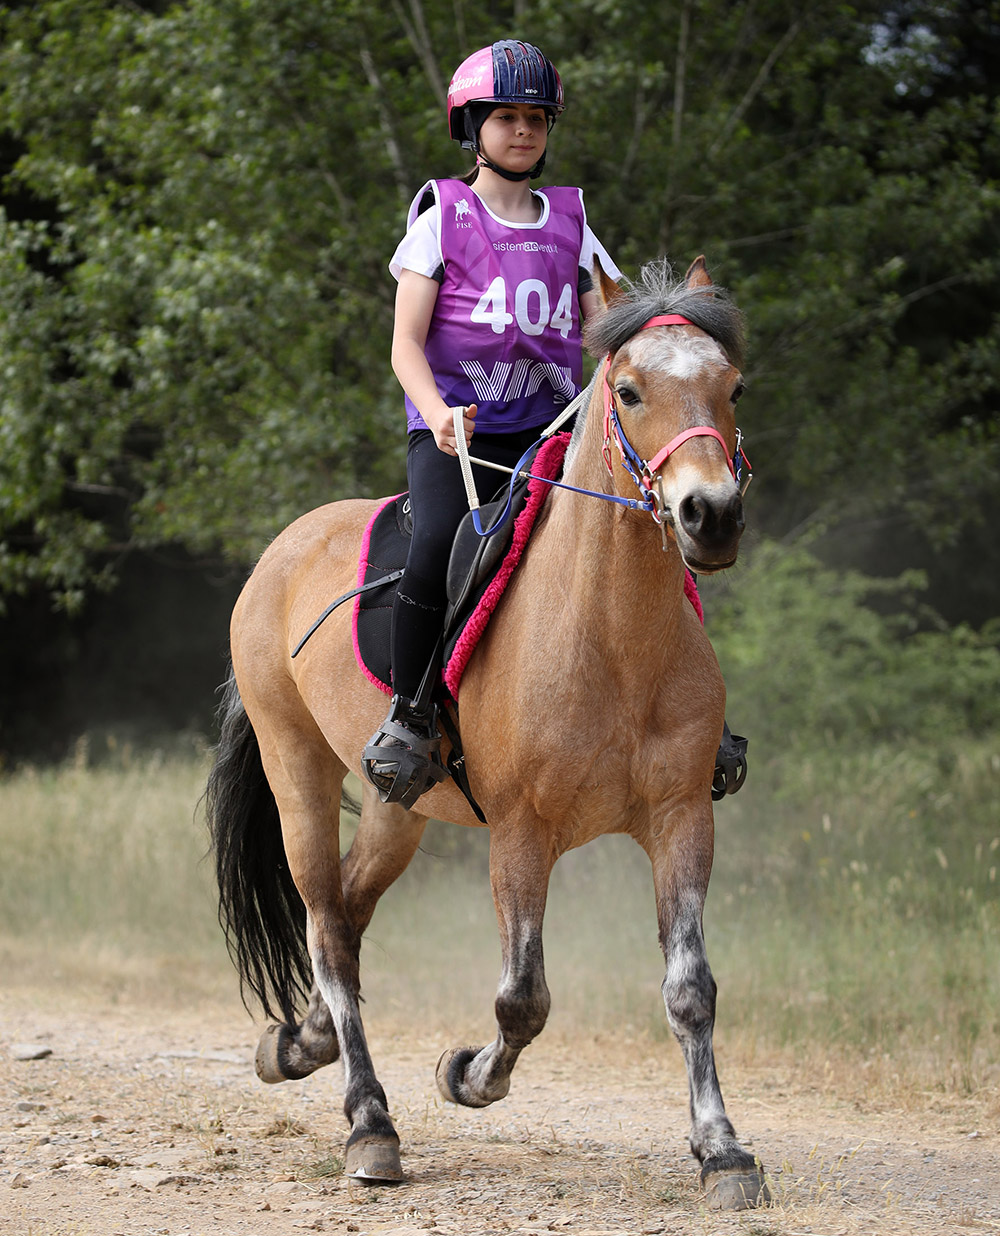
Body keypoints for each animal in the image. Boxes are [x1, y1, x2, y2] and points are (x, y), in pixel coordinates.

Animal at [206, 256, 768, 1211]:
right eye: (630, 390)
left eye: (731, 387)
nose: (711, 514)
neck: (612, 635)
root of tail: (281, 550)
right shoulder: (521, 833)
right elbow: (522, 999)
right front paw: (466, 1074)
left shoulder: (682, 817)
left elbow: (690, 989)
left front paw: (722, 1152)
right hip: (297, 776)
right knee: (327, 927)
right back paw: (369, 1123)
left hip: (398, 809)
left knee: (348, 911)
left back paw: (302, 1043)